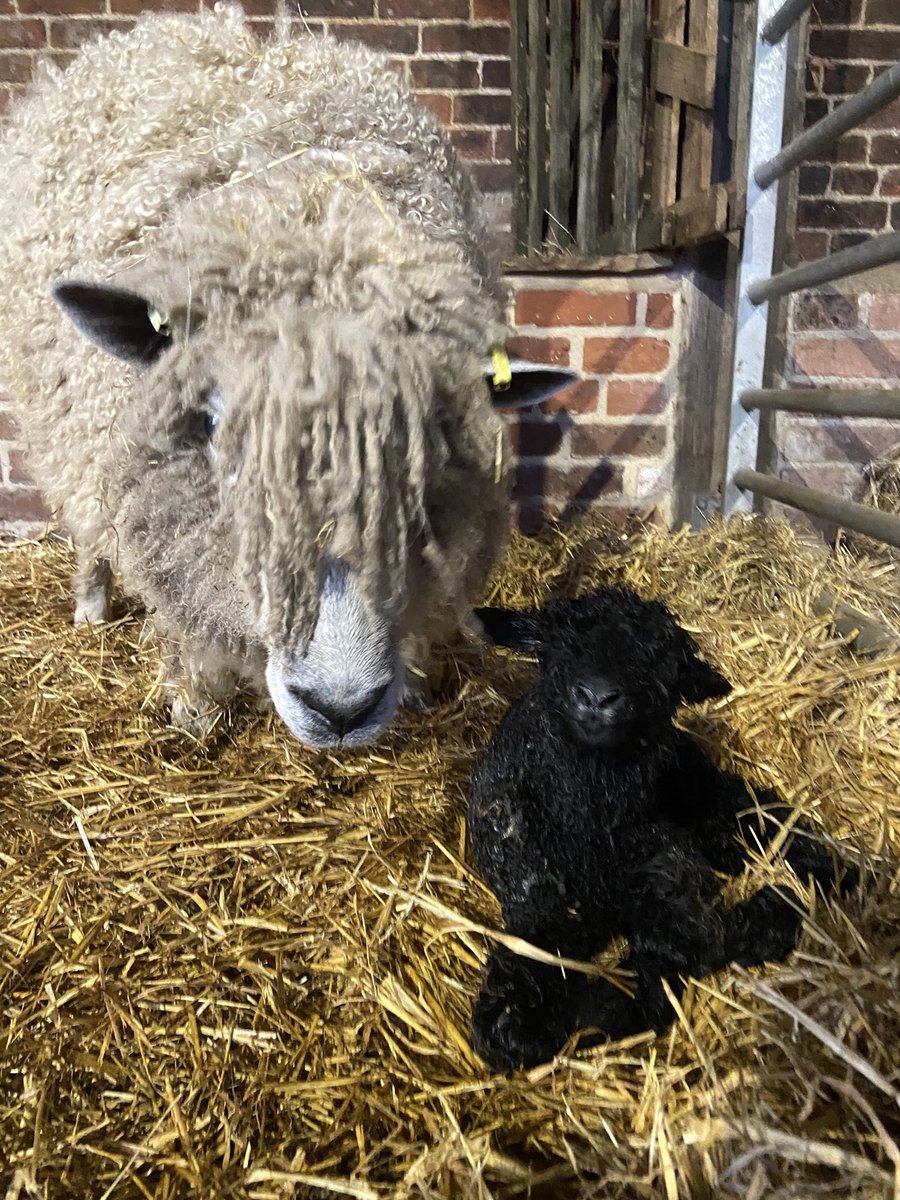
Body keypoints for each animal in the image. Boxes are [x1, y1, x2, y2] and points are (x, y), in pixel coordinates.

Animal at [0, 5, 573, 748]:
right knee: (88, 518)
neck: (312, 221)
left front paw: (414, 680)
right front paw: (195, 706)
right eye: (213, 426)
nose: (341, 706)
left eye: (431, 446)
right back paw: (93, 602)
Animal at [467, 589, 858, 1071]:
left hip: (697, 781)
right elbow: (509, 1023)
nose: (596, 697)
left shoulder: (666, 874)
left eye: (657, 660)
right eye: (556, 647)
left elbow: (684, 946)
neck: (594, 824)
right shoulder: (542, 912)